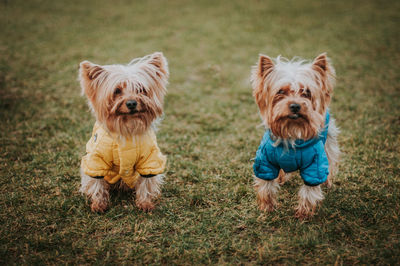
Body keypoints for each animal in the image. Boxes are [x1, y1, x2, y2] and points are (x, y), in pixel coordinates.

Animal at [79, 53, 168, 213]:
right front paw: (99, 204)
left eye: (140, 89)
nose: (132, 103)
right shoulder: (95, 161)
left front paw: (145, 203)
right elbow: (97, 182)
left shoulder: (149, 161)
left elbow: (146, 182)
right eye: (117, 91)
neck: (128, 127)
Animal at [252, 52, 340, 218]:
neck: (292, 129)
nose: (295, 106)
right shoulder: (265, 161)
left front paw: (304, 213)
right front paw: (267, 207)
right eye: (280, 92)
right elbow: (266, 185)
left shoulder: (314, 165)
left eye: (306, 92)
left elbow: (309, 191)